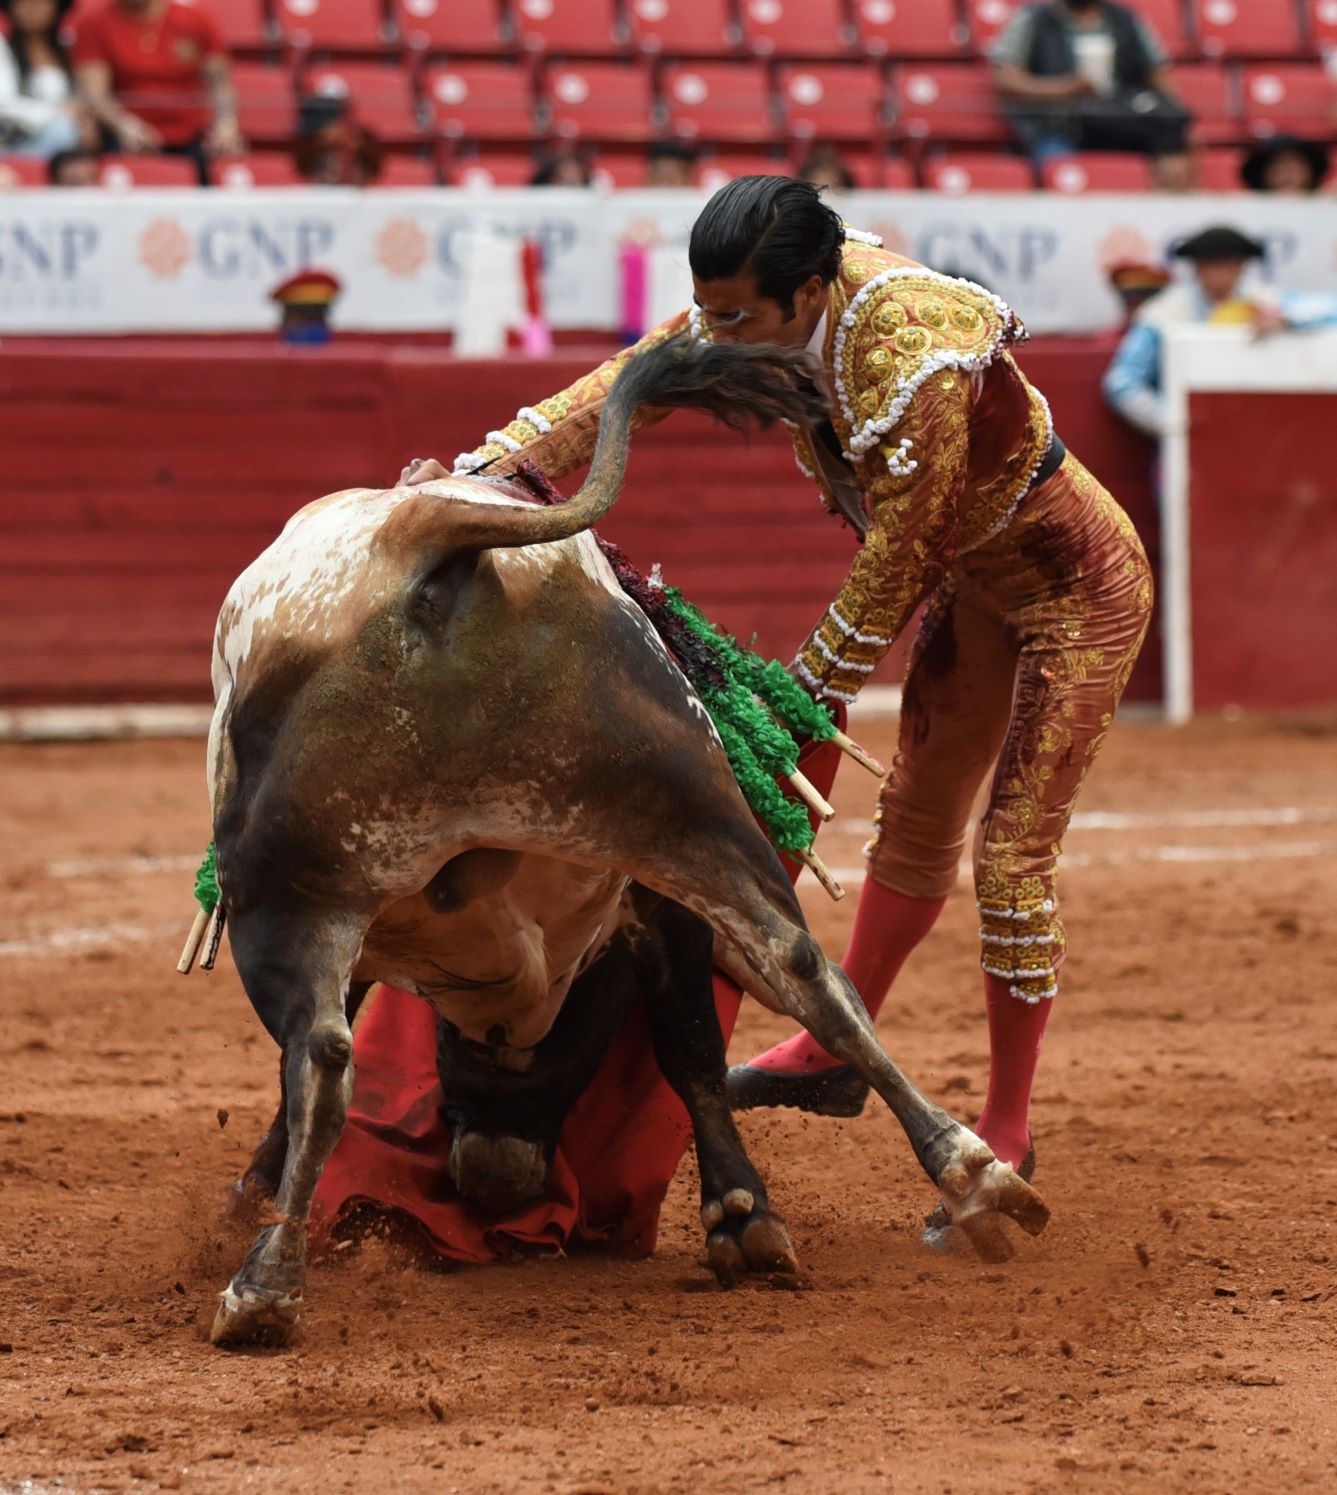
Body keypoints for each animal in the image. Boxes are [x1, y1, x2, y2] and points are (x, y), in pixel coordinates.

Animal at [205, 337, 1049, 1348]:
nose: (497, 1175)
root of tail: (428, 535)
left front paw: (249, 1200)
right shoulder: (645, 899)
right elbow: (691, 1038)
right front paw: (744, 1216)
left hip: (285, 895)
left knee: (322, 1056)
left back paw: (264, 1285)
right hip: (681, 801)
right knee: (806, 967)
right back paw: (974, 1177)